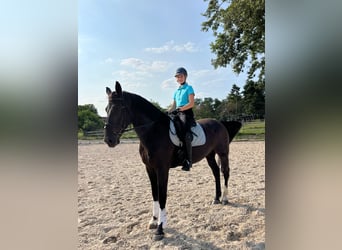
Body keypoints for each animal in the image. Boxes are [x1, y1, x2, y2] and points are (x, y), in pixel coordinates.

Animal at [103, 82, 240, 240]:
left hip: (223, 153)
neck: (154, 132)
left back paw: (224, 198)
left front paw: (160, 229)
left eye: (120, 109)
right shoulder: (149, 169)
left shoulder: (162, 169)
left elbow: (162, 196)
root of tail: (219, 123)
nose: (109, 140)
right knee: (216, 173)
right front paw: (153, 221)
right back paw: (216, 198)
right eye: (106, 109)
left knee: (225, 172)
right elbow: (154, 194)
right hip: (210, 155)